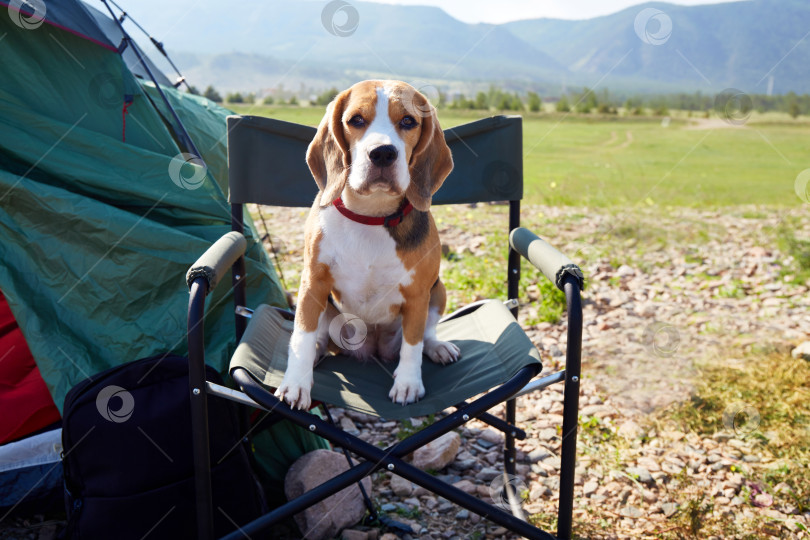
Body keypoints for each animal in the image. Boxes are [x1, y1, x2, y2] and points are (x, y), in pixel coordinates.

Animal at [274, 79, 458, 410]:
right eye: (356, 120)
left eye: (408, 121)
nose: (382, 153)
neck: (371, 216)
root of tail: (371, 349)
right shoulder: (312, 283)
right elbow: (302, 335)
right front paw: (295, 383)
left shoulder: (418, 293)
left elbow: (413, 343)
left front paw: (408, 384)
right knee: (318, 338)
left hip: (438, 290)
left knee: (427, 333)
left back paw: (437, 347)